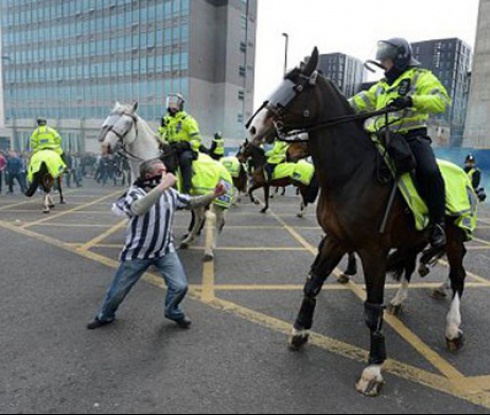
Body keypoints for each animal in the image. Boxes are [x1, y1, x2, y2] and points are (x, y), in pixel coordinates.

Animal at [99, 102, 230, 262]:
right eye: (110, 118)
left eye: (127, 123)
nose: (105, 146)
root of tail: (218, 162)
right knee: (200, 218)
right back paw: (187, 241)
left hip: (215, 201)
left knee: (215, 220)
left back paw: (210, 250)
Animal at [247, 48, 468, 396]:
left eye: (296, 88)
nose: (253, 129)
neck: (352, 173)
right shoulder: (335, 239)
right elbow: (312, 283)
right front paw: (299, 331)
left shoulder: (372, 250)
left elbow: (372, 307)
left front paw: (374, 367)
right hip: (412, 238)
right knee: (409, 266)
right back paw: (401, 300)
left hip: (454, 237)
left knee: (458, 277)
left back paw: (452, 328)